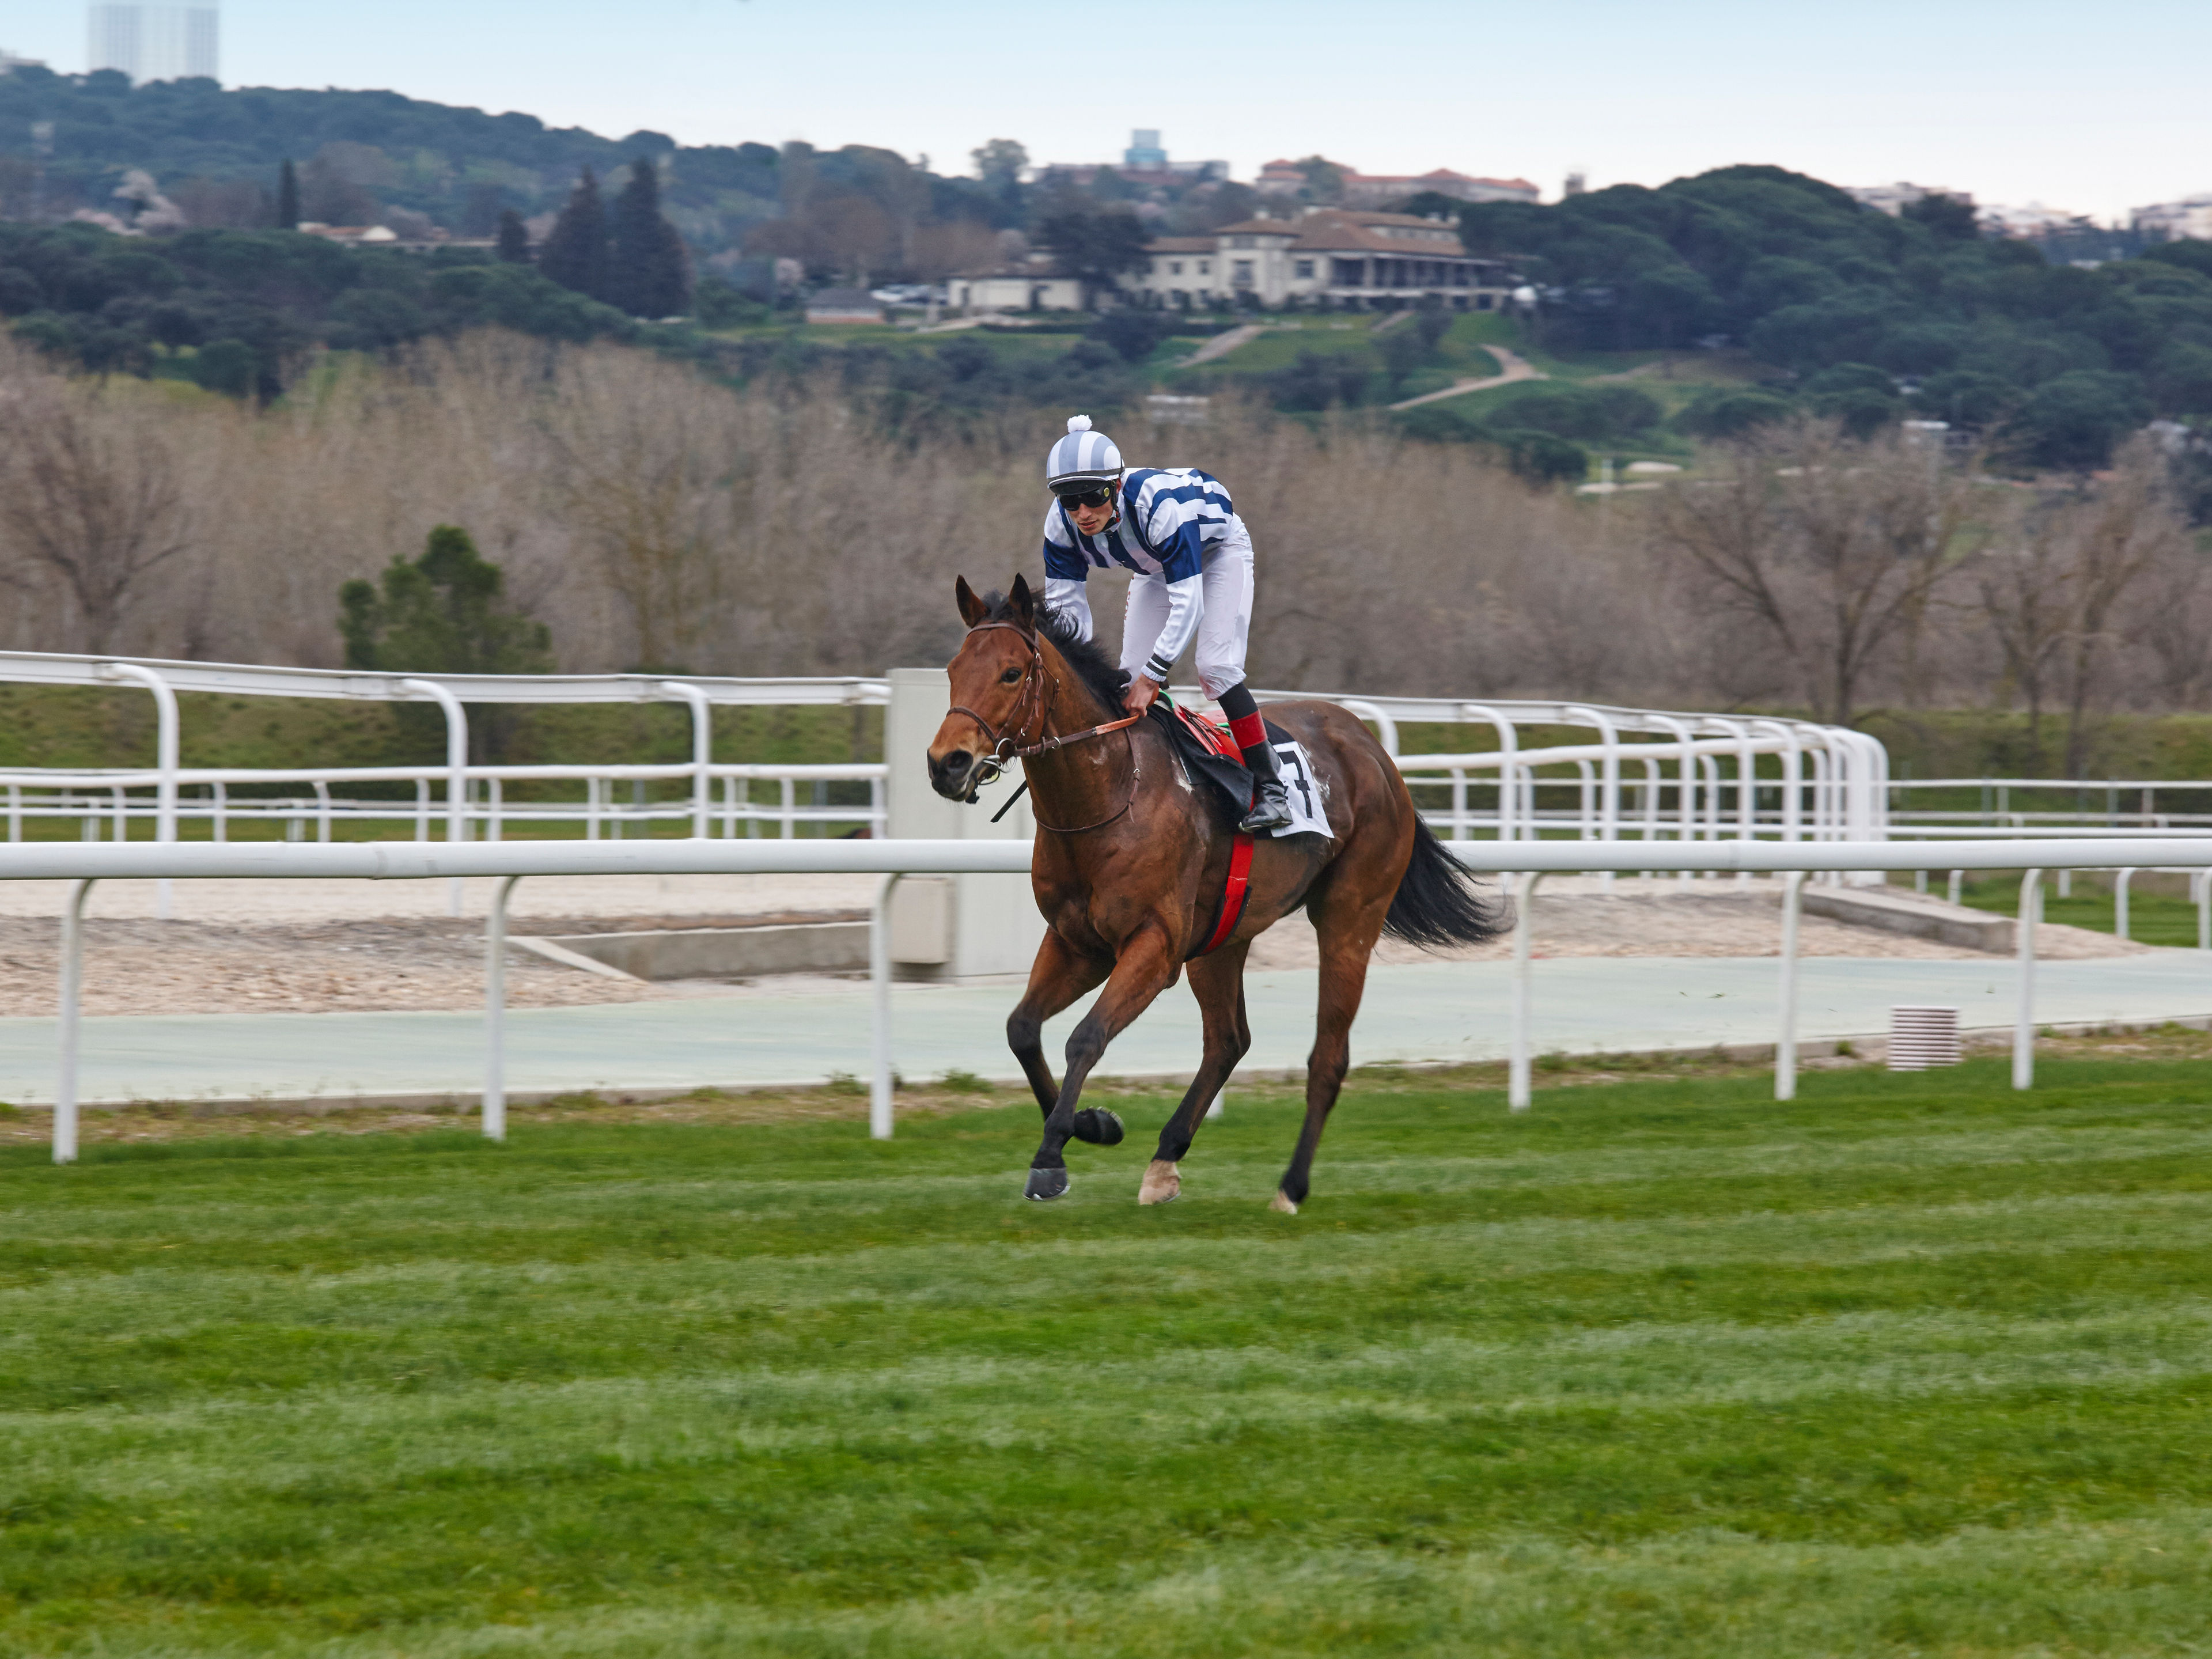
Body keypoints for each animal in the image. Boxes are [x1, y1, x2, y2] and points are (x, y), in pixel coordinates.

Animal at [927, 574, 1503, 1211]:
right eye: (953, 669)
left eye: (1010, 673)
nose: (946, 763)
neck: (1109, 794)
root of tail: (1373, 749)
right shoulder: (1078, 943)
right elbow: (1023, 1029)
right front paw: (1093, 1124)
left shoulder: (1153, 946)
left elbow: (1086, 1037)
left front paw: (1051, 1157)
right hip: (1224, 935)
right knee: (1228, 1040)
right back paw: (1166, 1159)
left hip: (1351, 915)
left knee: (1328, 1056)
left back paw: (1291, 1187)